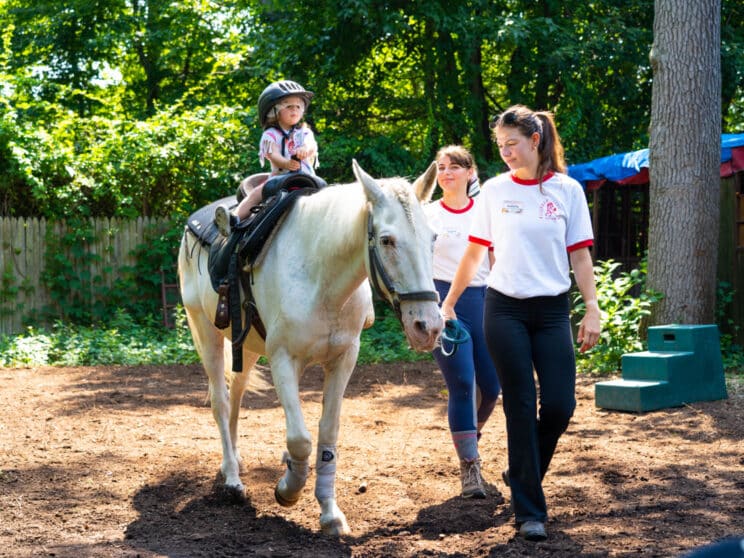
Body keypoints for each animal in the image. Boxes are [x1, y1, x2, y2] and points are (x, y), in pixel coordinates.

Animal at [177, 160, 442, 536]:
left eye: (433, 238)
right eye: (387, 240)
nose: (428, 327)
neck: (322, 276)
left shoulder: (343, 360)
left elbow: (327, 433)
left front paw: (329, 511)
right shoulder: (283, 359)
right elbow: (300, 438)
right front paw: (288, 488)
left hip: (248, 345)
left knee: (237, 396)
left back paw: (236, 460)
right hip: (204, 330)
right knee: (221, 400)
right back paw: (231, 477)